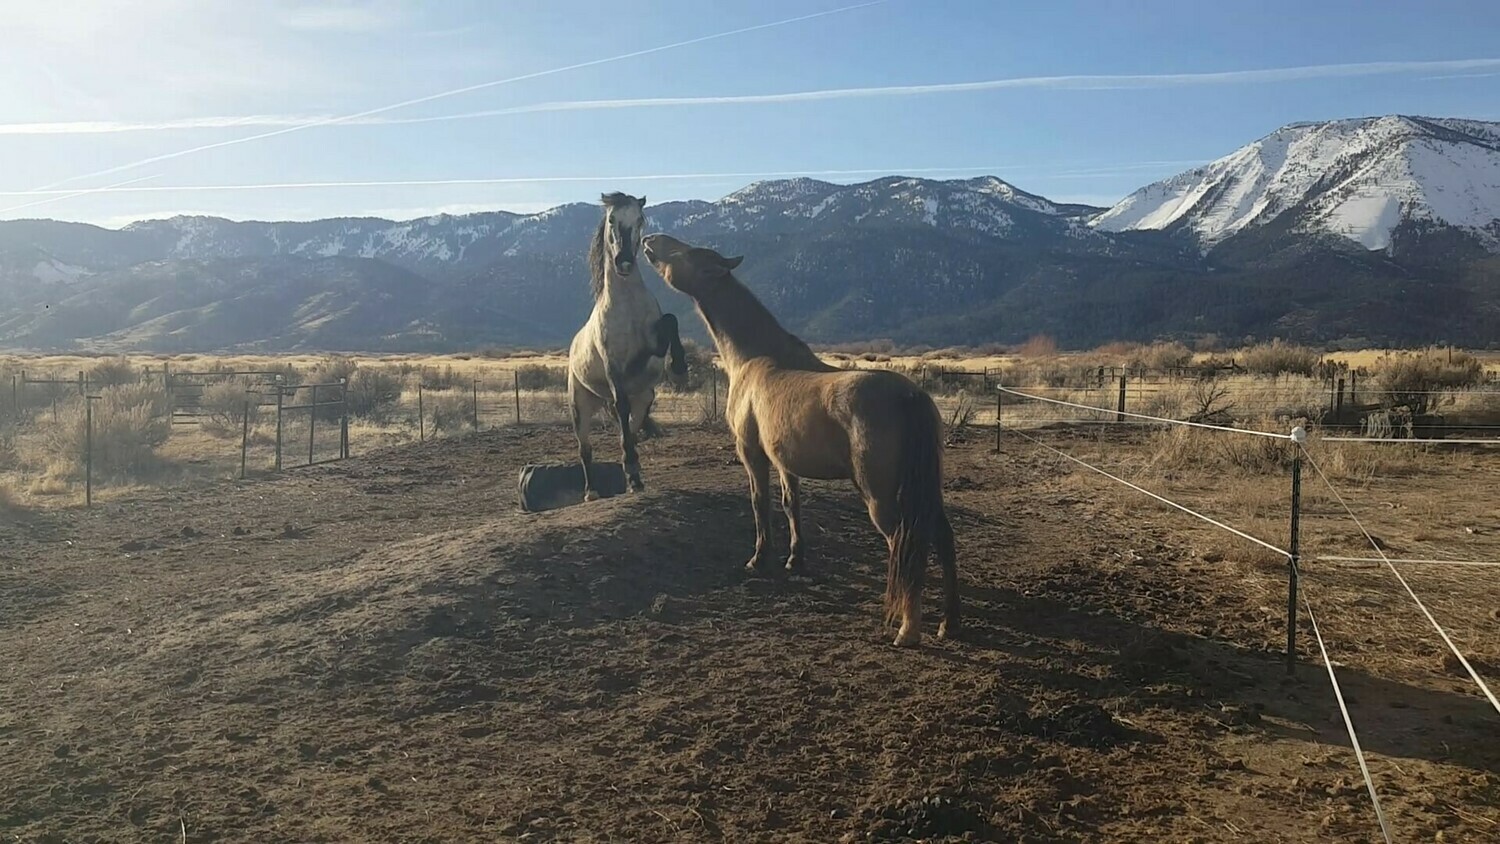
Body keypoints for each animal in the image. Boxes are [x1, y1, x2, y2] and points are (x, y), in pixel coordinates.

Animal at [568, 193, 687, 501]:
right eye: (611, 219)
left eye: (640, 220)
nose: (623, 263)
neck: (627, 305)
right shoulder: (614, 367)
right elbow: (620, 406)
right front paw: (631, 470)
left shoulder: (650, 351)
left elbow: (671, 321)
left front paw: (680, 367)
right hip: (580, 406)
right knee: (585, 449)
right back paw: (593, 491)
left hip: (644, 398)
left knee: (630, 430)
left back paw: (633, 473)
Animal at [641, 233, 959, 647]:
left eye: (685, 252)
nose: (649, 239)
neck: (755, 358)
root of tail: (910, 396)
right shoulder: (785, 461)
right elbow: (792, 505)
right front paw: (795, 558)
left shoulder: (752, 453)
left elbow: (759, 503)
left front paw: (759, 560)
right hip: (925, 489)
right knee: (943, 538)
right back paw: (949, 622)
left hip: (880, 497)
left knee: (904, 546)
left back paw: (908, 628)